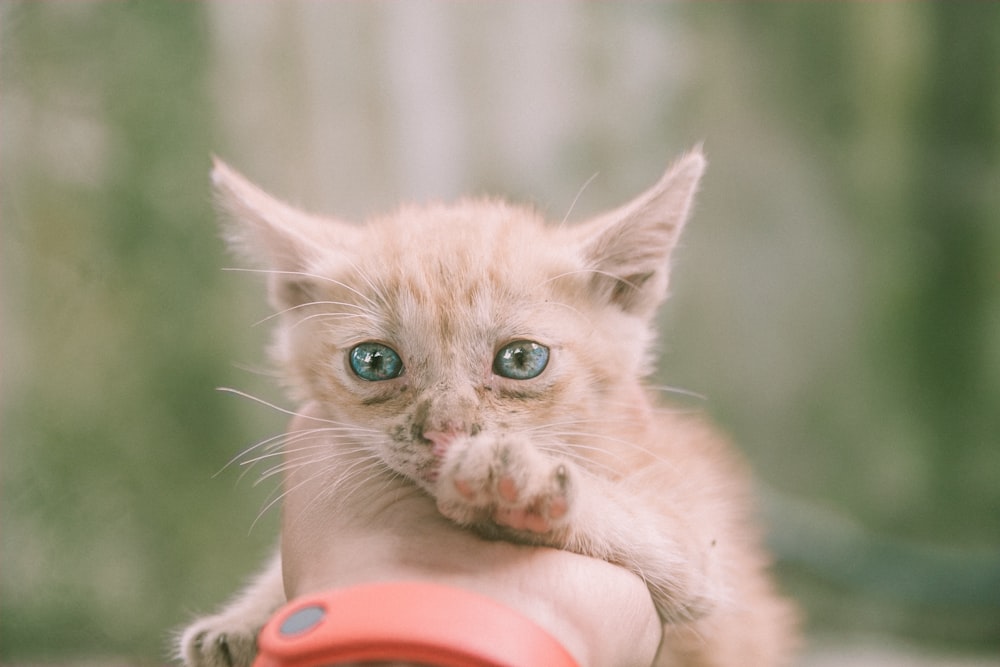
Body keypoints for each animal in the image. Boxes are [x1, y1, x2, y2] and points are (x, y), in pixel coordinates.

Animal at [178, 151, 796, 667]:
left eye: (521, 359)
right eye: (374, 361)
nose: (446, 430)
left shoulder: (703, 556)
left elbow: (641, 523)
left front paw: (519, 483)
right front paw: (243, 618)